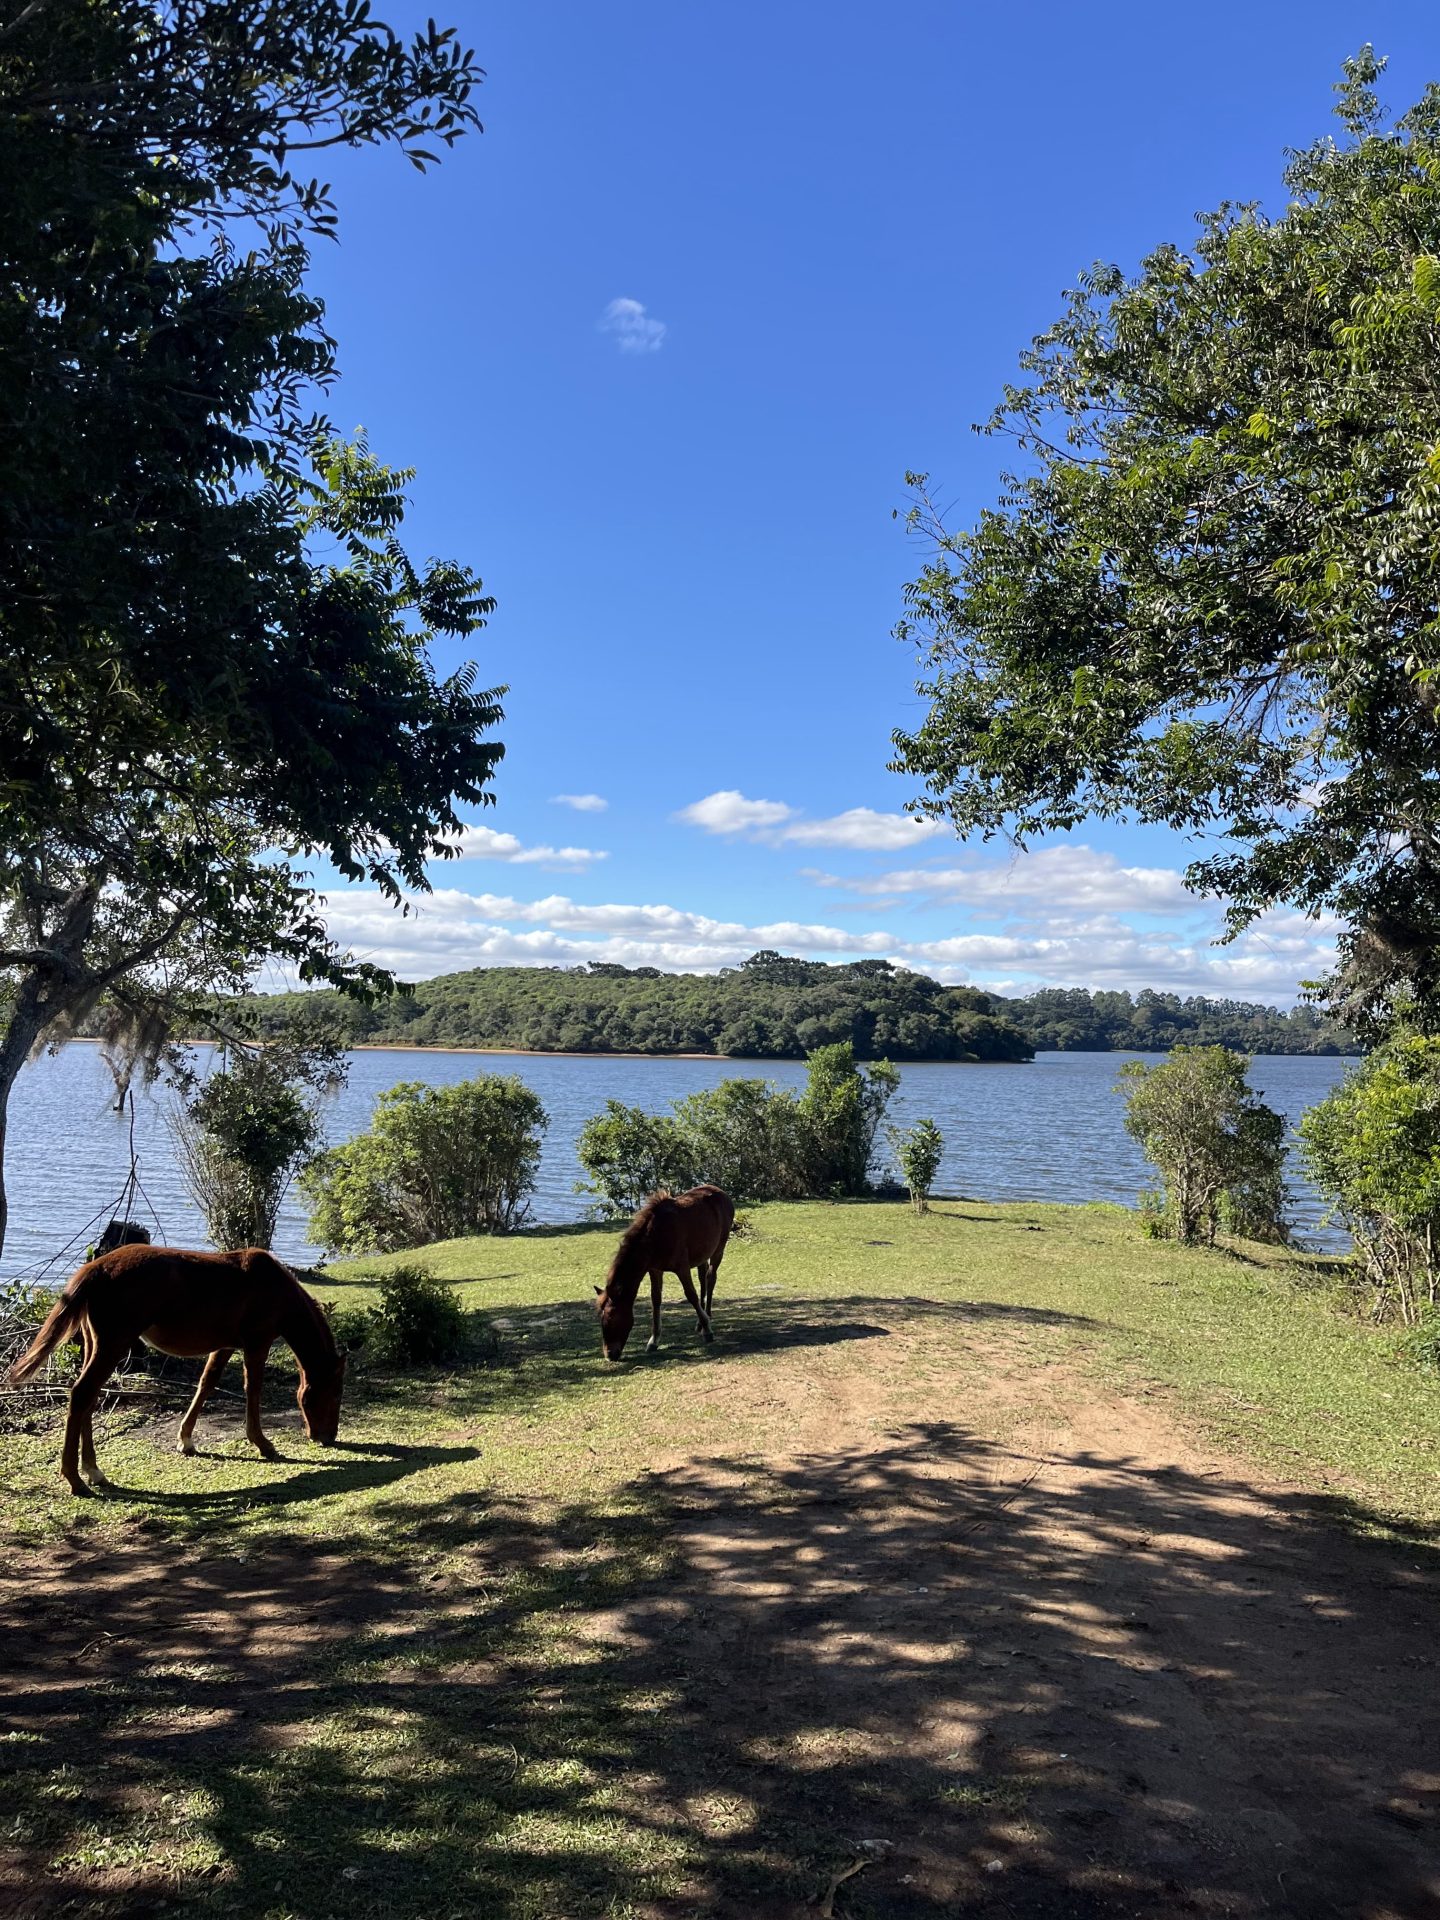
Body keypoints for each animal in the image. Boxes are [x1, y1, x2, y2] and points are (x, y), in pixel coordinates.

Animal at [6, 1244, 359, 1496]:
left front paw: (186, 1439)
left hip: (96, 1344)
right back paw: (75, 1479)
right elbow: (253, 1388)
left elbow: (207, 1383)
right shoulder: (256, 1343)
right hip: (113, 1345)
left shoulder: (225, 1345)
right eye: (335, 1393)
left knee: (89, 1399)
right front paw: (263, 1443)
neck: (274, 1287)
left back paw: (93, 1471)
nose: (328, 1437)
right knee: (81, 1394)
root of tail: (97, 1268)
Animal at [595, 1184, 735, 1361]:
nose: (610, 1355)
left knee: (710, 1278)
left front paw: (708, 1332)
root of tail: (722, 1193)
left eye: (612, 1318)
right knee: (703, 1278)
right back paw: (699, 1323)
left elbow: (691, 1295)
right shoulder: (655, 1270)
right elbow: (656, 1300)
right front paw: (654, 1341)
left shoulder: (682, 1268)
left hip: (718, 1250)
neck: (655, 1235)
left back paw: (707, 1318)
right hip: (701, 1255)